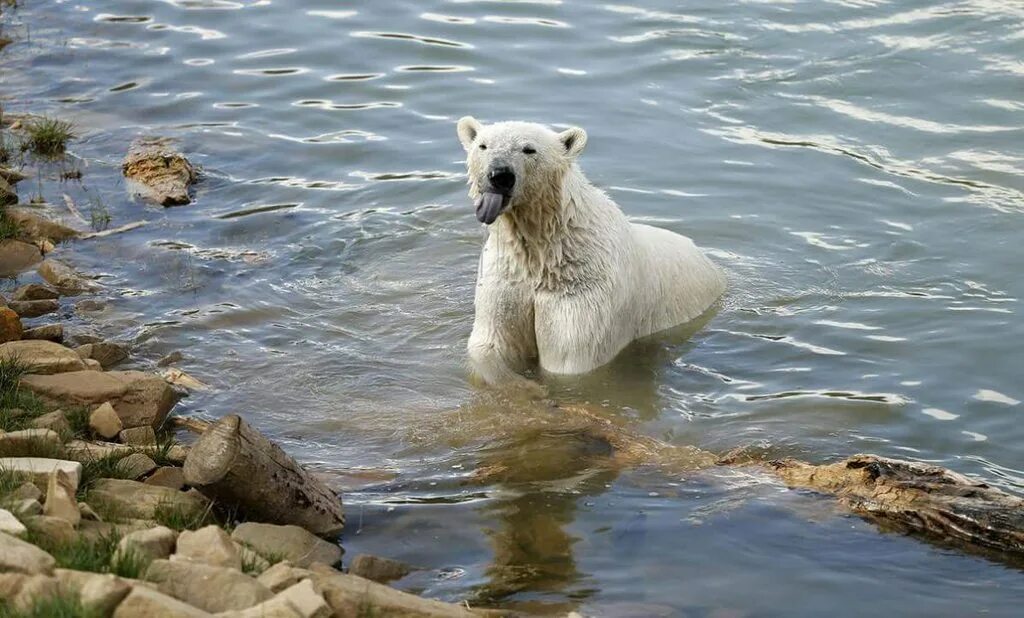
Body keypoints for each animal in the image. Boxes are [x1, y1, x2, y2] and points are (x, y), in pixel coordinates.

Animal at [460, 117, 724, 384]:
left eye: (529, 149)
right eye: (483, 146)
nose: (499, 175)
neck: (547, 248)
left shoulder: (583, 291)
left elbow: (568, 358)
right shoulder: (507, 278)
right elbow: (492, 343)